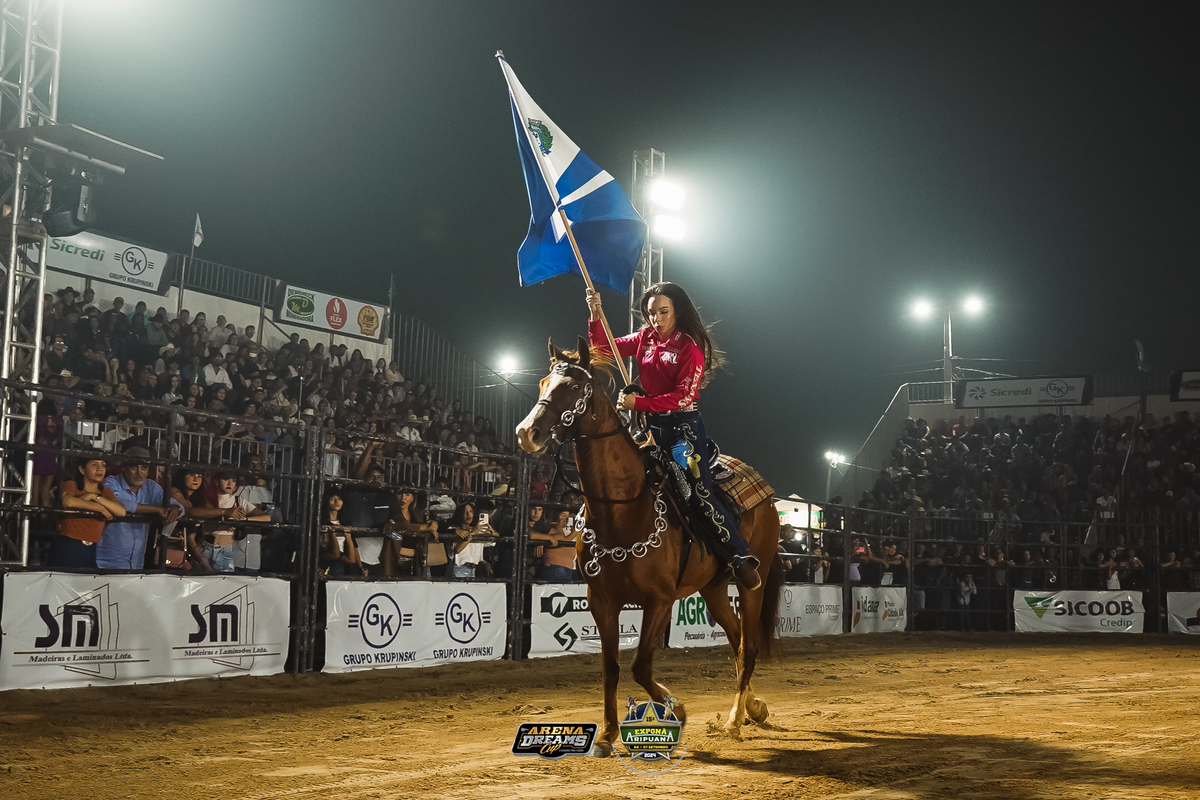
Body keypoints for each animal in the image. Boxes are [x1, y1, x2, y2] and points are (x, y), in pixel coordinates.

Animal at [516, 337, 783, 755]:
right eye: (544, 382)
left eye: (573, 386)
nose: (527, 432)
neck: (623, 507)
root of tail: (765, 495)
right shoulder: (601, 600)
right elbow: (611, 666)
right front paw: (607, 735)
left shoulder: (659, 599)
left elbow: (640, 665)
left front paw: (679, 709)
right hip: (713, 588)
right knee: (736, 638)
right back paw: (753, 708)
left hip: (754, 579)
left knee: (749, 644)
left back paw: (735, 721)